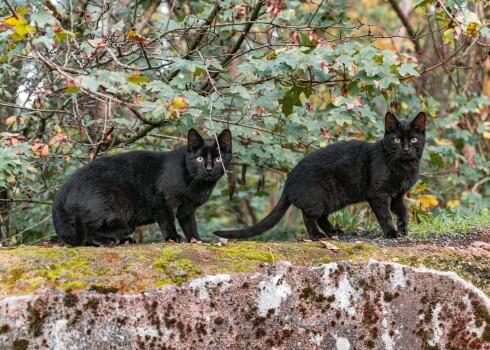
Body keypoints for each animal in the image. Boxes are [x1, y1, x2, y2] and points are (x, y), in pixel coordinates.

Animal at [52, 129, 233, 246]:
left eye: (218, 159)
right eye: (200, 158)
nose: (209, 169)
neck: (197, 184)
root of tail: (63, 190)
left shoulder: (187, 209)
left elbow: (191, 226)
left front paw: (197, 240)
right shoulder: (163, 200)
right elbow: (167, 221)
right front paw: (173, 238)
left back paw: (124, 240)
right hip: (118, 206)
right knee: (85, 229)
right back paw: (107, 241)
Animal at [214, 112, 424, 241]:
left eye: (414, 139)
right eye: (396, 140)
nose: (406, 149)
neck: (404, 167)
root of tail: (289, 180)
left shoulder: (398, 195)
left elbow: (403, 211)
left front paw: (403, 230)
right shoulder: (378, 193)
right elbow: (385, 215)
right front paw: (391, 233)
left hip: (331, 199)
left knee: (321, 216)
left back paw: (334, 231)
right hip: (320, 197)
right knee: (308, 216)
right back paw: (318, 236)